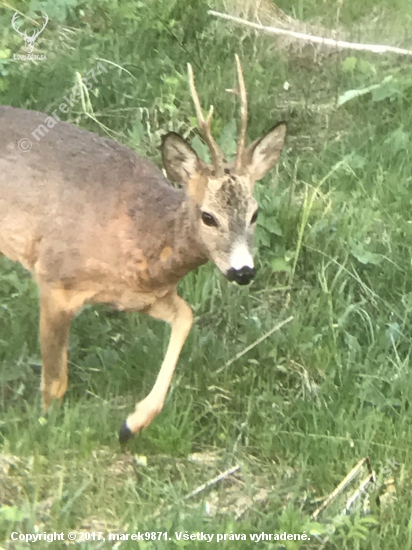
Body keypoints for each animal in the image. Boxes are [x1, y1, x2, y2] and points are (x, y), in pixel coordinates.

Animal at [0, 56, 286, 444]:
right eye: (208, 216)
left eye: (255, 213)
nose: (243, 271)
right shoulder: (55, 280)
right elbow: (55, 383)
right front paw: (44, 429)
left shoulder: (140, 297)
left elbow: (186, 317)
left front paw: (132, 423)